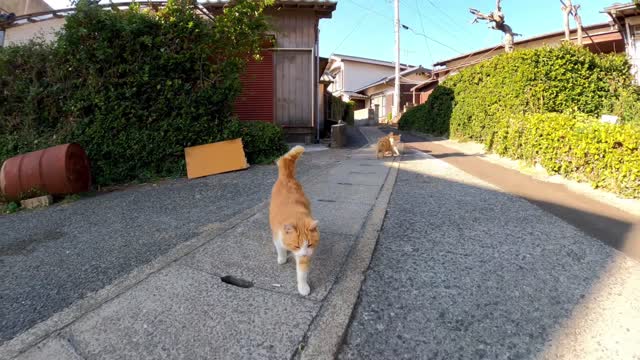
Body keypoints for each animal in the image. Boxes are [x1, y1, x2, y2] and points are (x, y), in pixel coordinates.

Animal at [270, 145, 320, 296]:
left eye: (309, 244)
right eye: (297, 246)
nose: (303, 253)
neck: (296, 217)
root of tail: (286, 177)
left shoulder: (304, 256)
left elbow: (302, 273)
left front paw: (303, 287)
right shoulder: (278, 237)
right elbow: (280, 249)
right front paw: (282, 258)